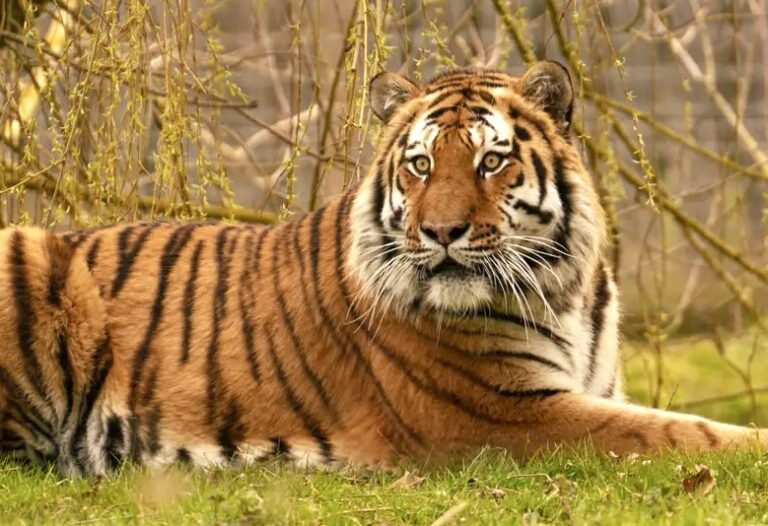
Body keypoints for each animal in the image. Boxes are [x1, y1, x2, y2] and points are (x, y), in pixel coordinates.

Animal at [0, 61, 765, 477]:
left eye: (492, 160)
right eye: (421, 164)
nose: (442, 231)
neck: (564, 290)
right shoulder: (509, 414)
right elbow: (682, 432)